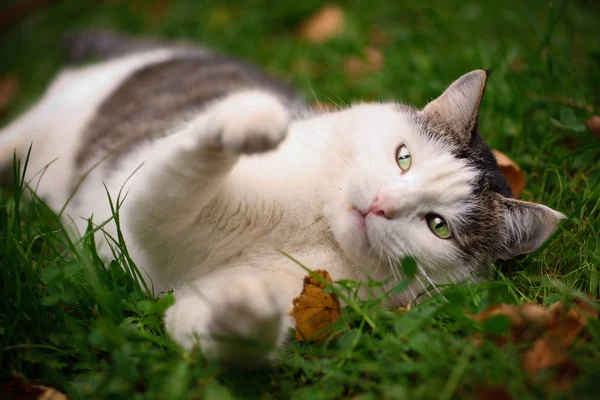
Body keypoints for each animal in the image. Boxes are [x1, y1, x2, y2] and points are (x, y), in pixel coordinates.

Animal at [0, 29, 564, 364]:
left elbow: (213, 328)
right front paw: (250, 117)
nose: (380, 204)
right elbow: (186, 165)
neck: (313, 224)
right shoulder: (143, 194)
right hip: (45, 122)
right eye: (403, 157)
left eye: (438, 225)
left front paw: (247, 310)